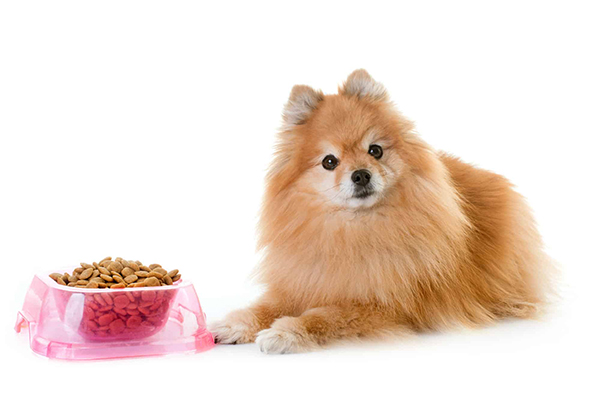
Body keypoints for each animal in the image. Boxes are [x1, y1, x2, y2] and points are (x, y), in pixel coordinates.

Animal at [212, 69, 552, 354]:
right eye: (329, 161)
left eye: (375, 150)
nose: (361, 174)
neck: (356, 229)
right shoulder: (307, 280)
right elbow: (267, 306)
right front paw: (233, 324)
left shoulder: (385, 305)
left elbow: (326, 316)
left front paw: (286, 332)